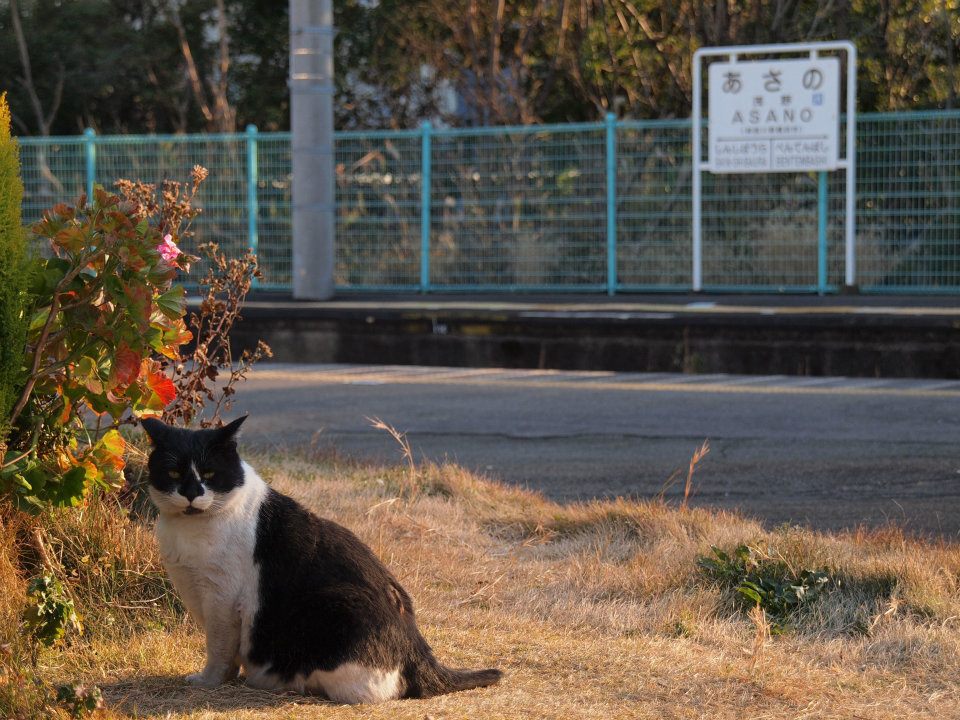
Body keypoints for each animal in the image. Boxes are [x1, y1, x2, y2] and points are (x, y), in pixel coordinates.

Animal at [142, 416, 502, 704]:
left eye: (209, 473)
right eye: (173, 472)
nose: (191, 493)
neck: (189, 529)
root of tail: (418, 647)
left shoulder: (222, 601)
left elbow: (218, 651)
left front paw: (208, 682)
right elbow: (226, 654)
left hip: (336, 603)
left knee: (371, 692)